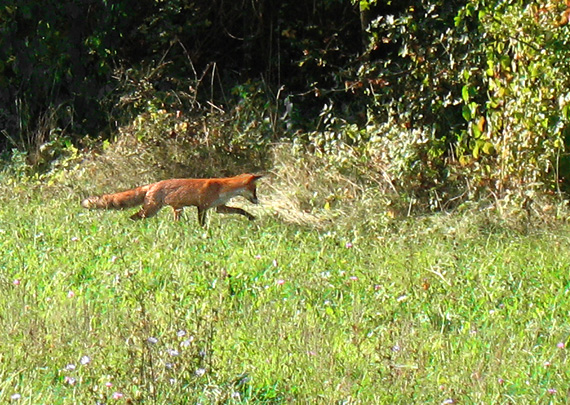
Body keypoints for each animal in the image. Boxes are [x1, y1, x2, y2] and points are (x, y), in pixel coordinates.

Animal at [81, 172, 262, 226]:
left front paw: (251, 216)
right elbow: (202, 223)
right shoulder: (202, 206)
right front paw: (203, 231)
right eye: (255, 190)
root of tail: (152, 184)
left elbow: (240, 210)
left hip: (175, 210)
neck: (222, 188)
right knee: (133, 217)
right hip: (151, 210)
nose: (258, 201)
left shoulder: (219, 207)